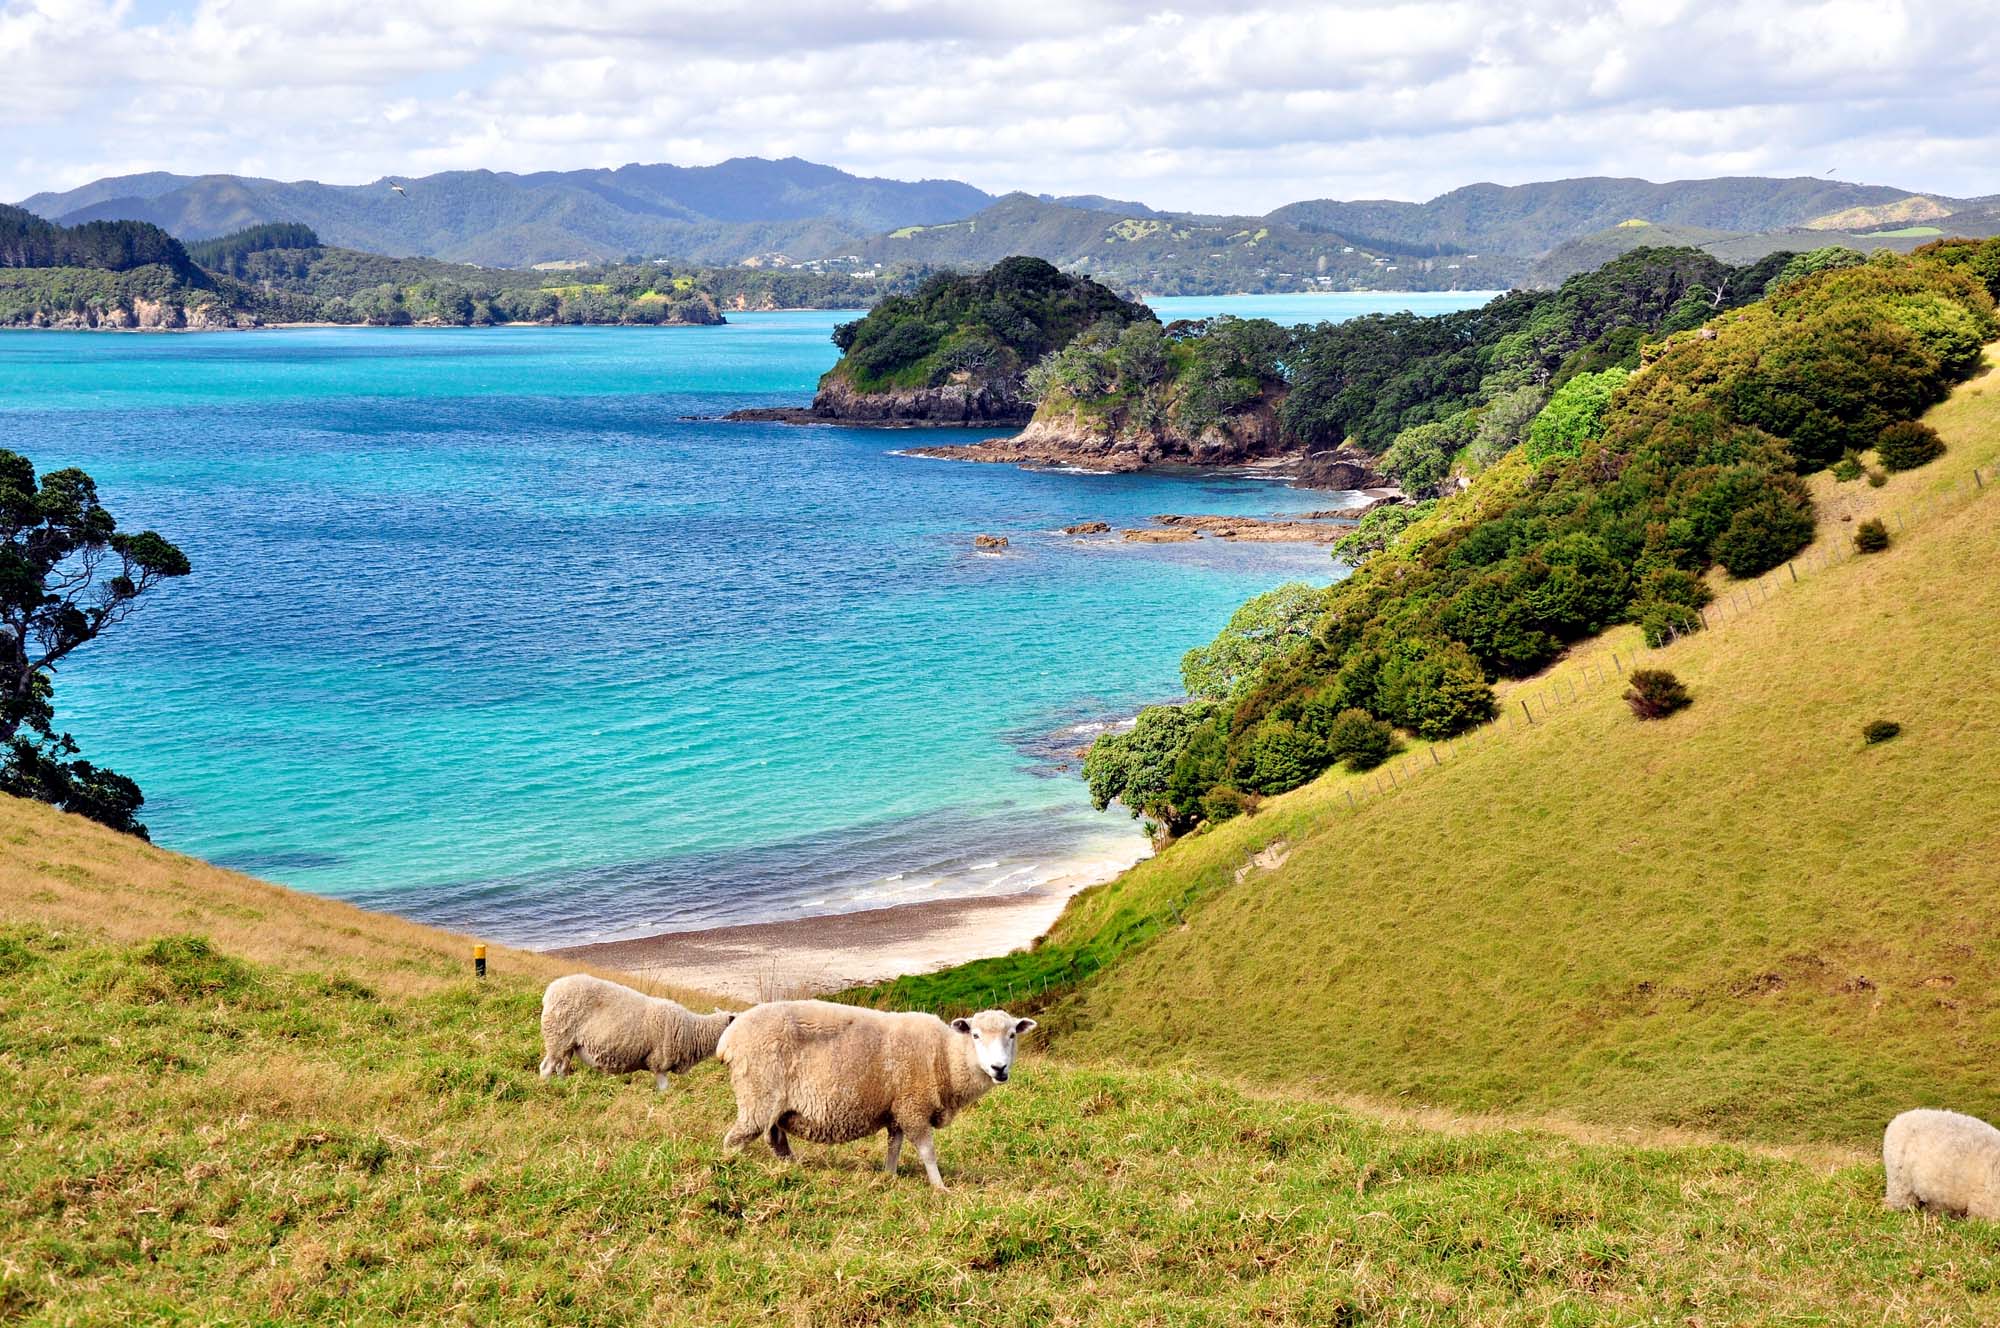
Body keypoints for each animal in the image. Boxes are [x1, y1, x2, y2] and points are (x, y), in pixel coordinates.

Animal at [538, 973, 734, 1092]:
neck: (692, 1031)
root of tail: (550, 991)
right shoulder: (659, 1062)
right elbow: (664, 1089)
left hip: (568, 1043)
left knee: (561, 1068)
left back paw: (563, 1087)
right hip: (557, 1036)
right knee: (546, 1068)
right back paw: (545, 1088)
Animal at [715, 1000, 1036, 1190]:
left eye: (1012, 1035)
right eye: (976, 1035)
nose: (999, 1068)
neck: (945, 1056)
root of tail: (727, 1039)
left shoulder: (897, 1109)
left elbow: (894, 1147)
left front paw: (888, 1176)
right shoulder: (913, 1106)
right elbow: (927, 1152)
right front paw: (940, 1188)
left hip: (773, 1106)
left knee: (776, 1140)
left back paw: (793, 1170)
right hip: (757, 1095)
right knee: (733, 1141)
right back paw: (730, 1168)